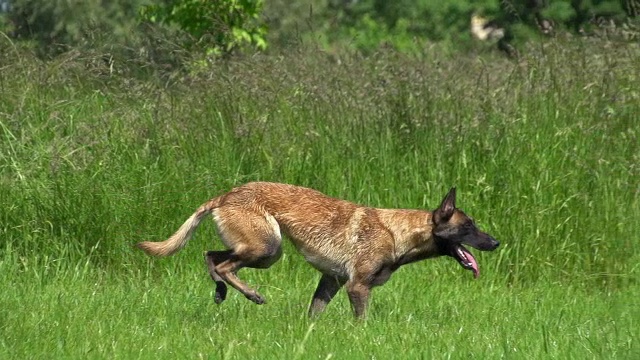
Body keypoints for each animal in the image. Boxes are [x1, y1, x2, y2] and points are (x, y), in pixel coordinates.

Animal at [136, 183, 500, 318]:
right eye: (468, 227)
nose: (496, 242)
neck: (397, 232)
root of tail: (227, 194)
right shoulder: (357, 287)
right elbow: (362, 320)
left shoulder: (331, 282)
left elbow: (314, 315)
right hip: (268, 249)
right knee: (223, 265)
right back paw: (251, 295)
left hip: (260, 251)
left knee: (212, 258)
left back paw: (220, 293)